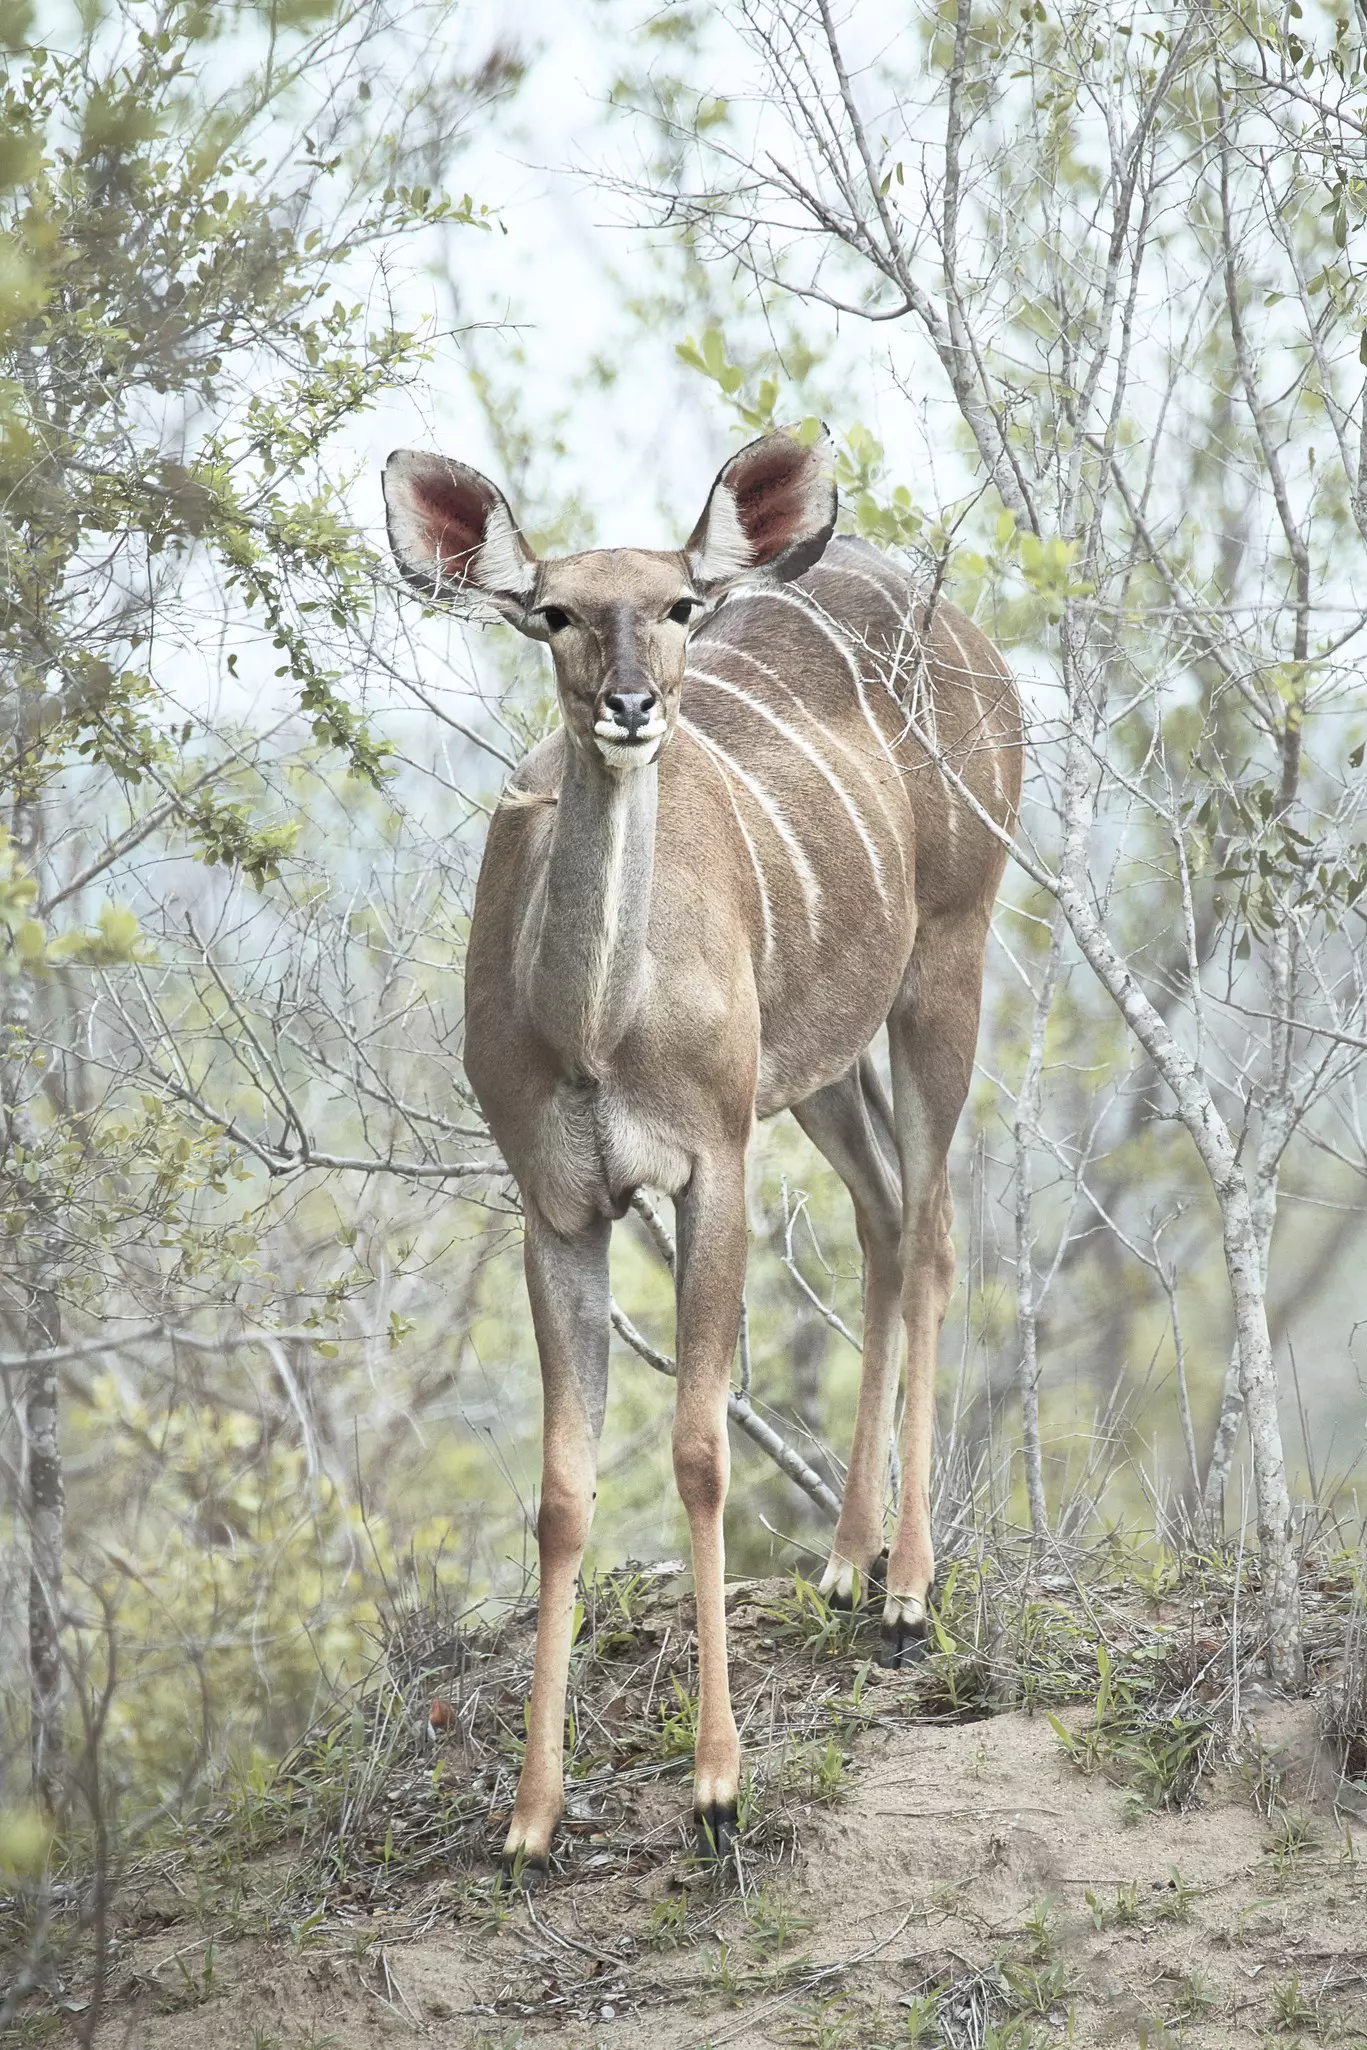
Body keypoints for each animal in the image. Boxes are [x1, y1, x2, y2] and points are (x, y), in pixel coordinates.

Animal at [383, 426, 1022, 1878]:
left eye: (677, 604)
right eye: (551, 610)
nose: (629, 707)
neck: (592, 1029)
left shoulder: (706, 1166)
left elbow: (697, 1448)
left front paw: (717, 1785)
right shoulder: (556, 1204)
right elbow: (563, 1492)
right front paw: (530, 1819)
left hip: (945, 955)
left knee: (935, 1228)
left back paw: (907, 1591)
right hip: (815, 1062)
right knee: (885, 1216)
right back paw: (842, 1564)